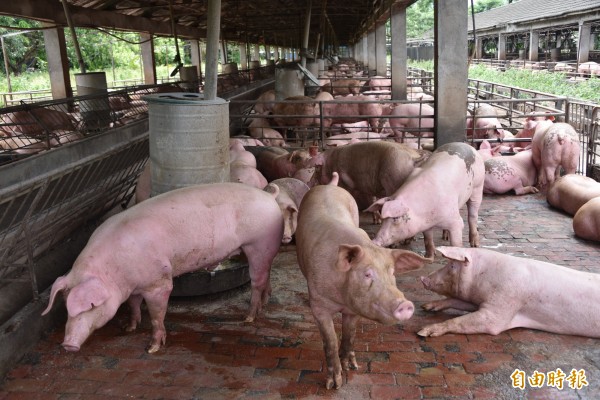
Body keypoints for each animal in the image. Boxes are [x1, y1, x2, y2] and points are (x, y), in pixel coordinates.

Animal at [42, 183, 284, 352]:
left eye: (91, 306)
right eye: (66, 307)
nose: (68, 345)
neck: (116, 274)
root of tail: (269, 196)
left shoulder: (158, 282)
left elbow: (157, 314)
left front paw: (152, 348)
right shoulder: (134, 285)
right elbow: (133, 304)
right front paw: (129, 328)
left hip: (258, 243)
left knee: (257, 280)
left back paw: (248, 317)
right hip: (264, 248)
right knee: (267, 274)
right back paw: (264, 304)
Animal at [294, 173, 426, 390]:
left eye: (392, 272)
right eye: (367, 274)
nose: (405, 304)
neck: (341, 296)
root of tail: (330, 185)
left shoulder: (354, 308)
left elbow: (350, 333)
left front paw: (352, 367)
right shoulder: (318, 304)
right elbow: (329, 341)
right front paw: (334, 385)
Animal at [418, 247, 600, 338]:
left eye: (452, 266)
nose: (422, 278)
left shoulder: (504, 304)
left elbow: (475, 321)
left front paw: (423, 332)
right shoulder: (482, 300)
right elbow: (458, 302)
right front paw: (426, 307)